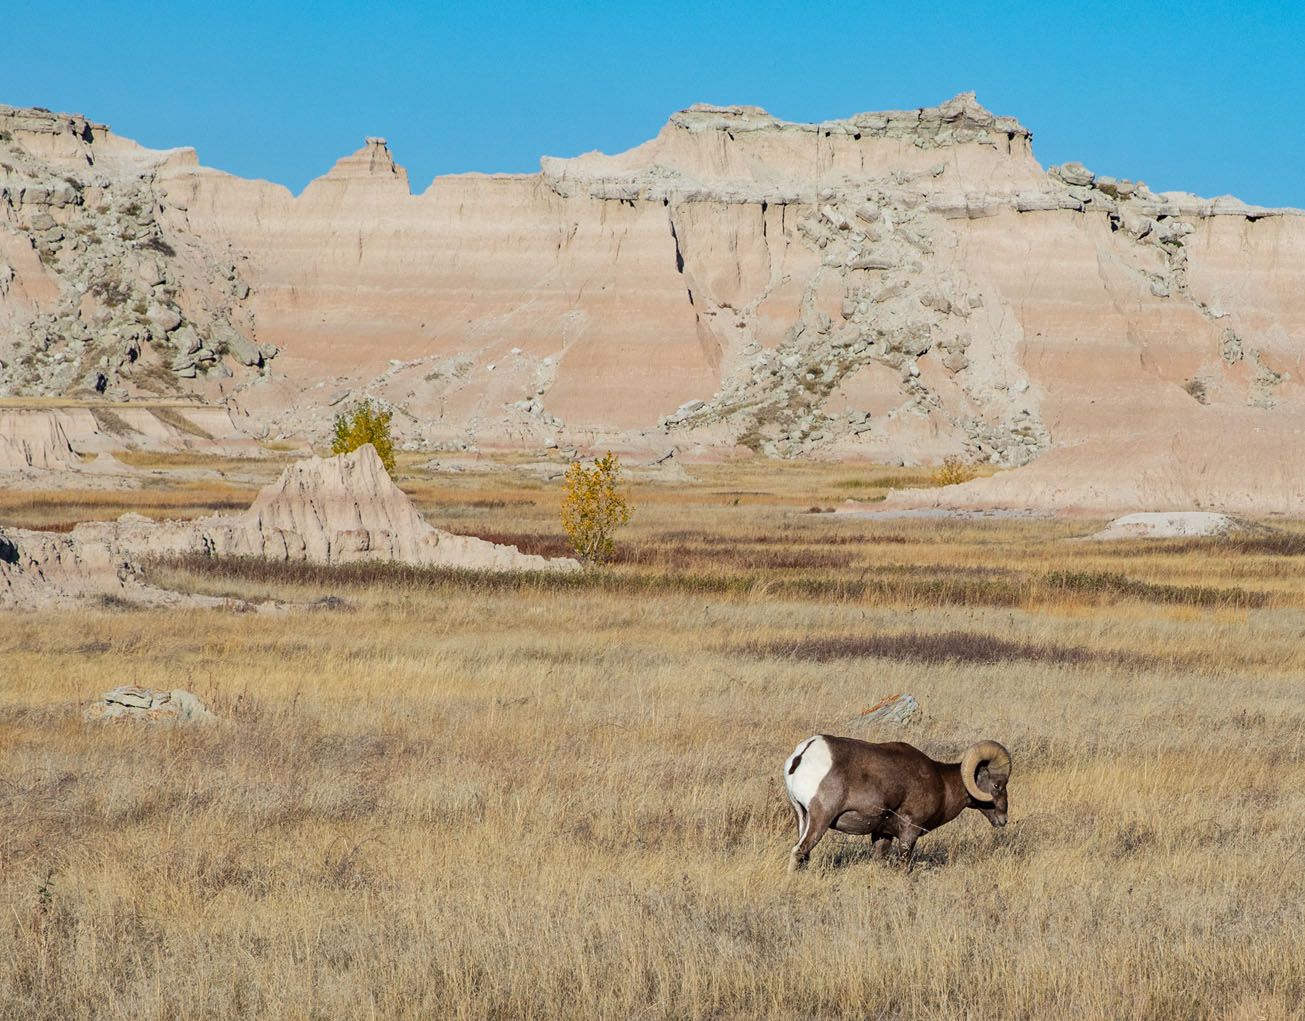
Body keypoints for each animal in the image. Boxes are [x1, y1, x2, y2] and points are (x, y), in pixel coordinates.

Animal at [782, 736, 1007, 872]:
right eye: (997, 785)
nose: (1004, 819)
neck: (942, 783)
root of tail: (803, 755)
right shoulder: (910, 831)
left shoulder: (883, 834)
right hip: (820, 818)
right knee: (800, 850)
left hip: (801, 816)